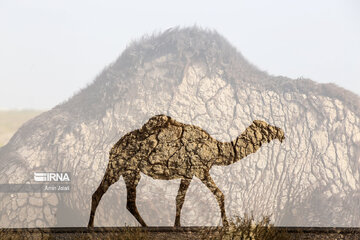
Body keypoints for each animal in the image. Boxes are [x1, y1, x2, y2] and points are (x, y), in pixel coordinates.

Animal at [87, 114, 284, 227]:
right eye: (265, 127)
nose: (281, 132)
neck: (217, 150)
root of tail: (113, 147)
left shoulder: (188, 173)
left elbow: (179, 199)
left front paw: (177, 225)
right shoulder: (201, 169)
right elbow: (220, 194)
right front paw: (227, 225)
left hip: (131, 171)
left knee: (129, 202)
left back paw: (146, 226)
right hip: (118, 165)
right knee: (99, 193)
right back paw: (90, 226)